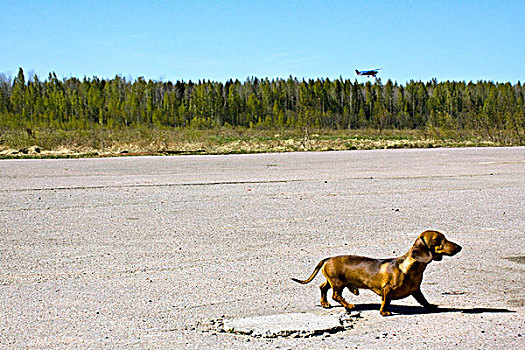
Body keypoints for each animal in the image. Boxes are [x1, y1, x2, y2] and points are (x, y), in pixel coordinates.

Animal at [292, 231, 460, 316]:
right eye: (438, 239)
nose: (459, 247)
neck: (412, 269)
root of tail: (328, 258)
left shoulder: (416, 290)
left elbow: (423, 300)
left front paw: (431, 306)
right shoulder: (387, 289)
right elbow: (386, 301)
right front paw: (384, 312)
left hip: (333, 281)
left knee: (323, 287)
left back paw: (325, 303)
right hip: (338, 283)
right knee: (336, 295)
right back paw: (349, 305)